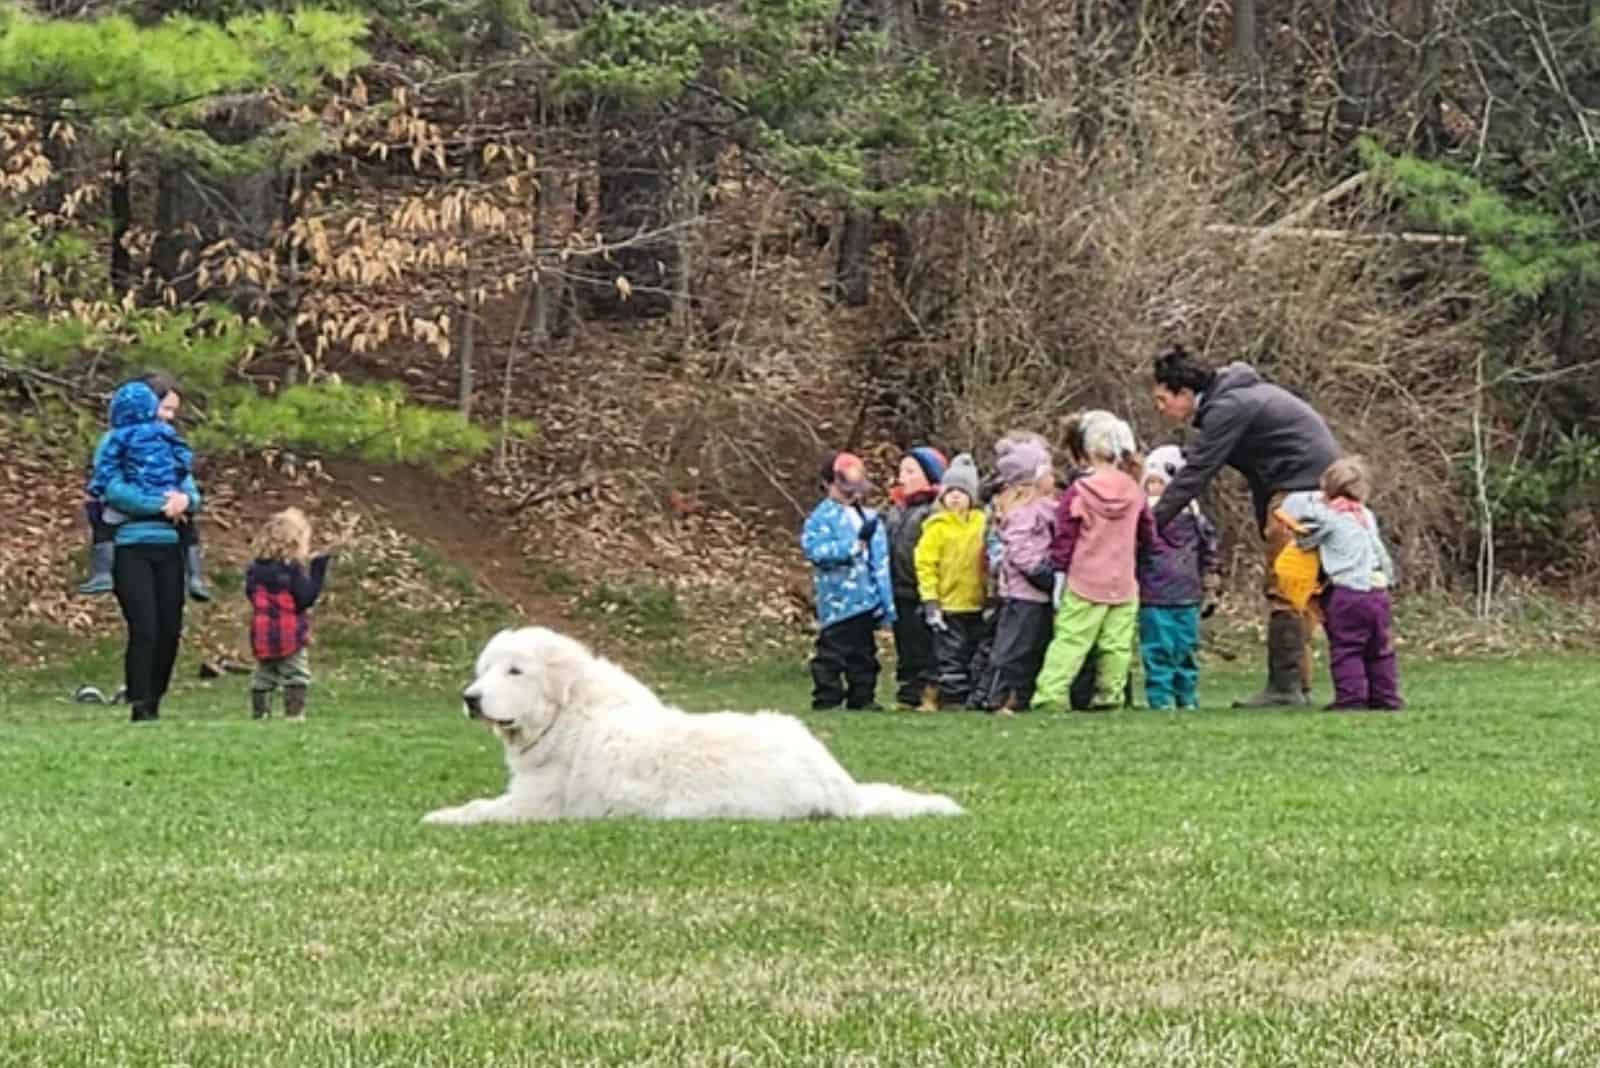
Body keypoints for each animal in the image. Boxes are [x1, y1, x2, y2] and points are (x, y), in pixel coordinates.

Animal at [422, 626, 960, 824]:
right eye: (485, 670)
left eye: (515, 671)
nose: (470, 698)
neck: (564, 716)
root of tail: (843, 789)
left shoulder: (535, 806)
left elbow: (476, 810)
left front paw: (440, 815)